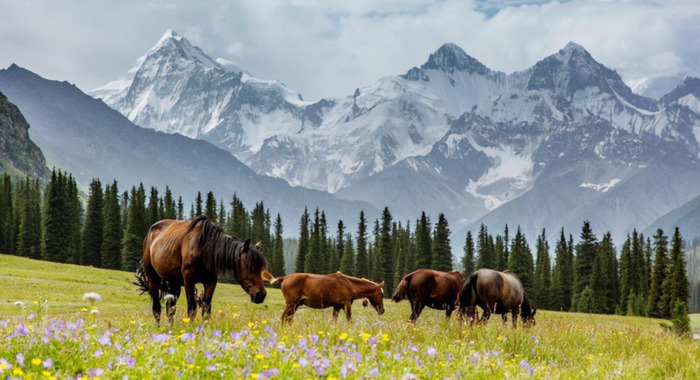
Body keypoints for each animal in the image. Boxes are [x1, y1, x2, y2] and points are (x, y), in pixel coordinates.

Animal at [135, 217, 266, 324]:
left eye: (261, 268)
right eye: (249, 266)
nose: (261, 295)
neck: (205, 249)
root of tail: (150, 233)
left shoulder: (211, 280)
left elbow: (206, 309)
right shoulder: (189, 278)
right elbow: (192, 308)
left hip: (173, 283)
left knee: (170, 308)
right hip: (153, 279)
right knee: (157, 308)